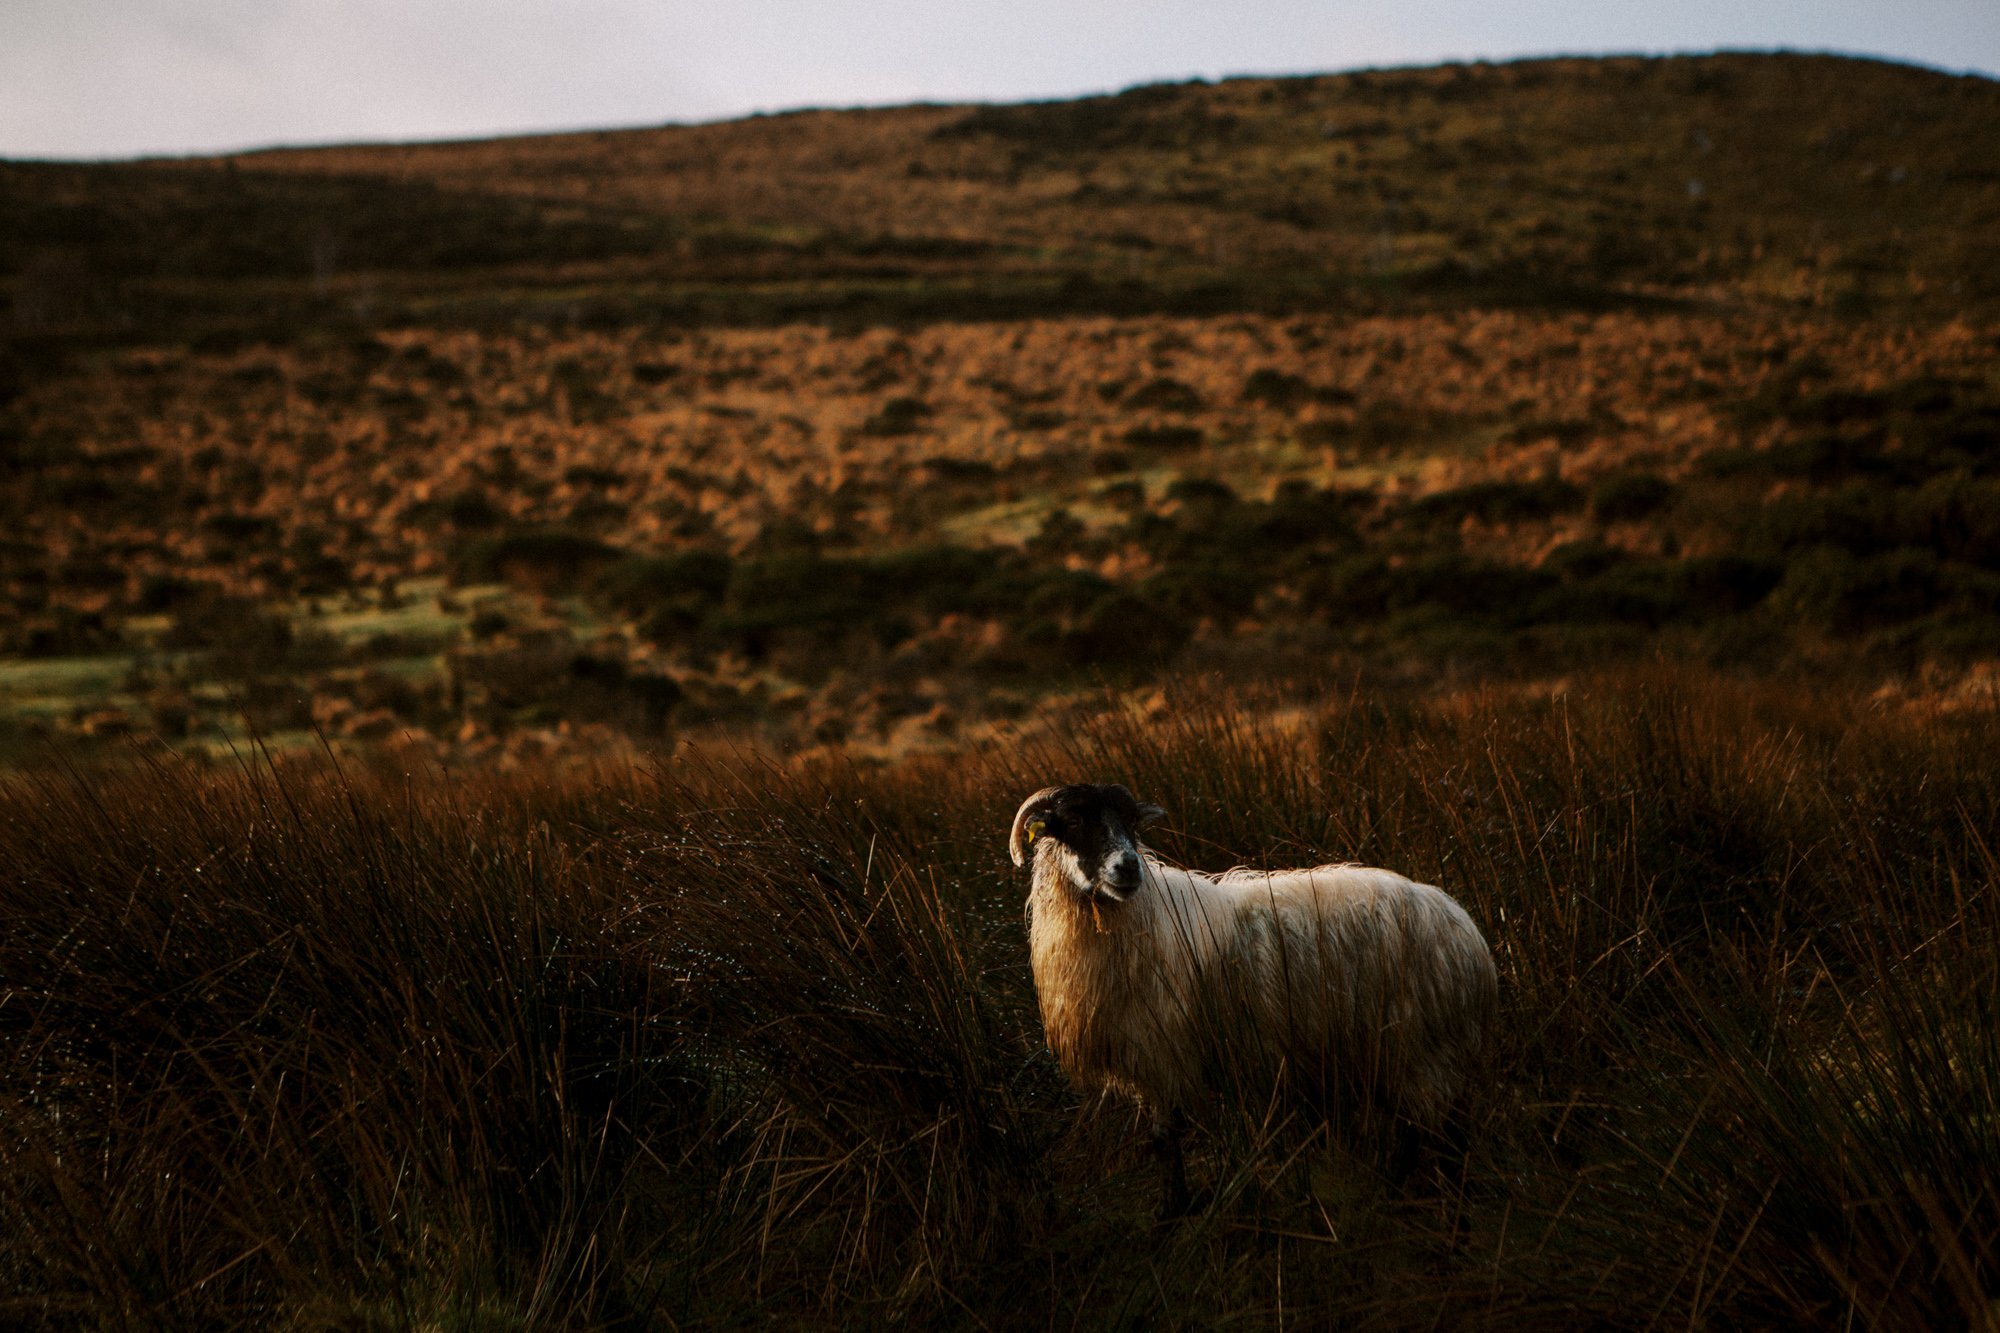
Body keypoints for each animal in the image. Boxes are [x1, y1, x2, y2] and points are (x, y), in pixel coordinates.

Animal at [1009, 782, 1497, 1215]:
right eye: (1074, 820)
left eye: (1131, 823)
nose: (1129, 867)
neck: (1133, 917)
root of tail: (1469, 939)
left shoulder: (1160, 1049)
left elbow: (1164, 1138)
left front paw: (1172, 1210)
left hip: (1419, 1049)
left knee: (1439, 1135)